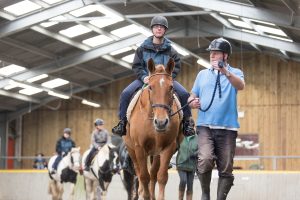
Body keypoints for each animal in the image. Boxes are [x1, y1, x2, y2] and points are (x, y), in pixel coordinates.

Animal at [122, 57, 183, 200]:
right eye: (150, 87)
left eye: (171, 87)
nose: (161, 122)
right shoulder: (139, 148)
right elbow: (144, 176)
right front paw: (144, 195)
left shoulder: (168, 147)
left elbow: (161, 176)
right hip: (132, 150)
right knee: (139, 173)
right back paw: (139, 193)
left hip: (156, 152)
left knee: (154, 173)